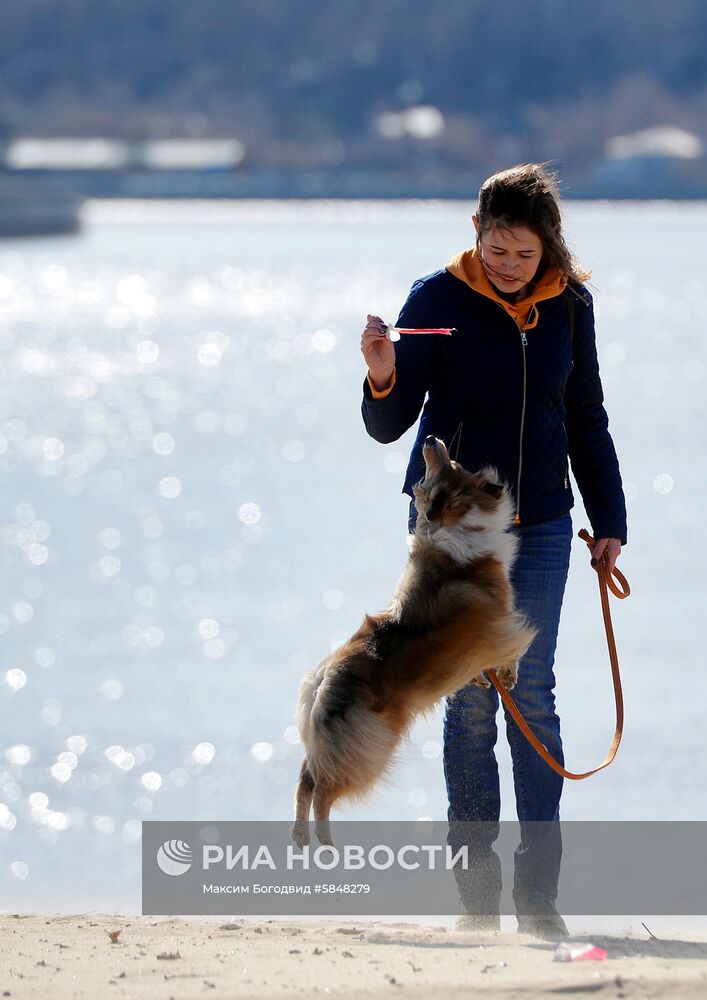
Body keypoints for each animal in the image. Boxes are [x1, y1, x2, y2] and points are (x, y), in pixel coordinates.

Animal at [292, 438, 536, 844]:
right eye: (452, 465)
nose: (431, 440)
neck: (455, 522)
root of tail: (326, 679)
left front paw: (482, 679)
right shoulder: (499, 621)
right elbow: (510, 648)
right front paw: (508, 675)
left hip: (329, 742)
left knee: (306, 779)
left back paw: (301, 836)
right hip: (369, 747)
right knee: (324, 788)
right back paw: (327, 842)